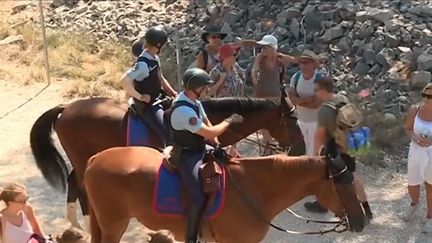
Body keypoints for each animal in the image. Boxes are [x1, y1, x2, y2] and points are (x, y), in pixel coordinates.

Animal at [29, 96, 304, 224]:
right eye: (292, 121)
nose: (300, 148)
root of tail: (66, 108)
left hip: (82, 157)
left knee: (74, 182)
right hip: (81, 157)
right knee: (80, 186)